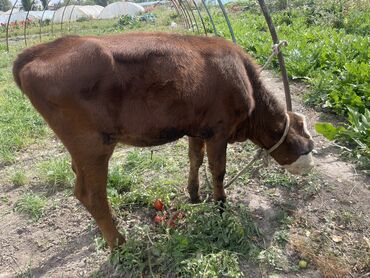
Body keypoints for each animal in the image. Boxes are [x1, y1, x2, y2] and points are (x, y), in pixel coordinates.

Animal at [12, 32, 312, 250]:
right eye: (304, 135)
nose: (311, 157)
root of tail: (46, 48)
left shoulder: (197, 129)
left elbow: (195, 159)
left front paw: (194, 195)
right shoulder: (219, 130)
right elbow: (218, 171)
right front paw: (220, 205)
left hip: (81, 150)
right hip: (93, 146)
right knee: (91, 194)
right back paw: (119, 243)